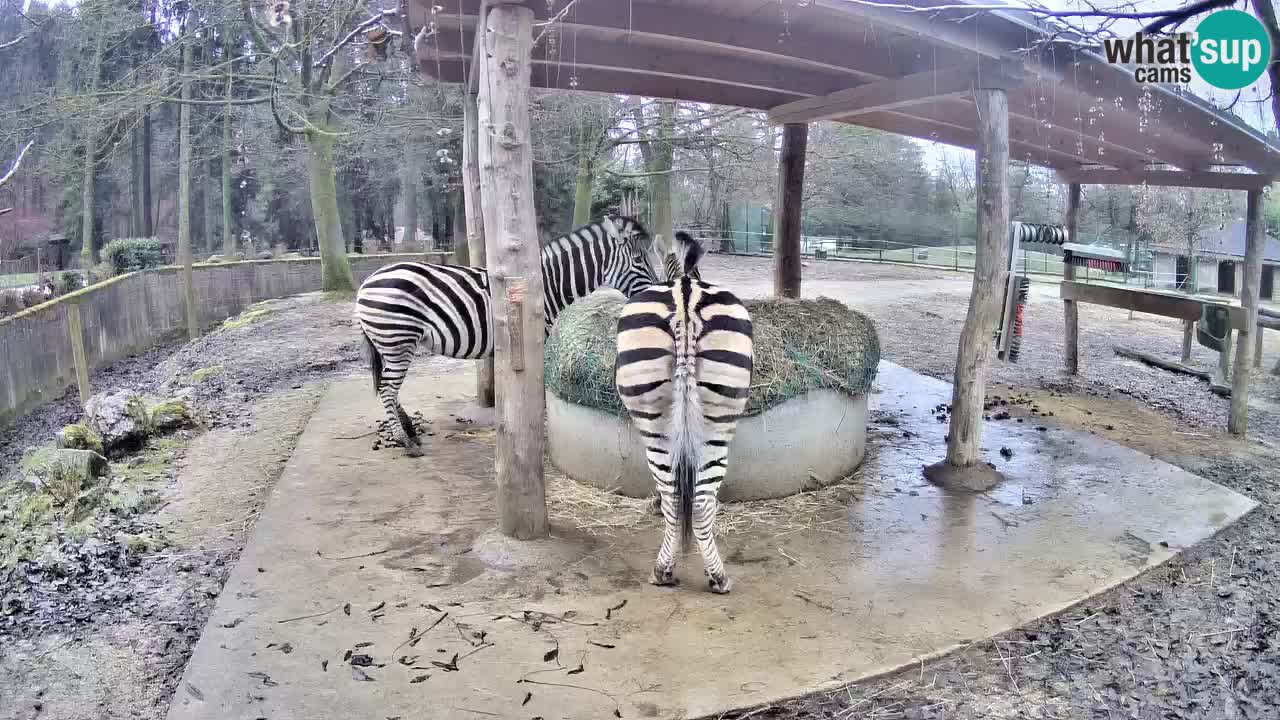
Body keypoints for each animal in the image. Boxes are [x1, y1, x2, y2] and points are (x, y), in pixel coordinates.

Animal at [358, 215, 665, 456]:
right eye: (639, 260)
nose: (653, 296)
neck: (549, 285)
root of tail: (367, 282)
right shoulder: (537, 338)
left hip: (392, 344)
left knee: (388, 387)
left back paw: (409, 431)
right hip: (398, 339)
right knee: (387, 389)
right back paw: (405, 441)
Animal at [614, 230, 752, 594]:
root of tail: (685, 299)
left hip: (655, 420)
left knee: (673, 496)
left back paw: (664, 571)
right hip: (718, 419)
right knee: (701, 500)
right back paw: (717, 577)